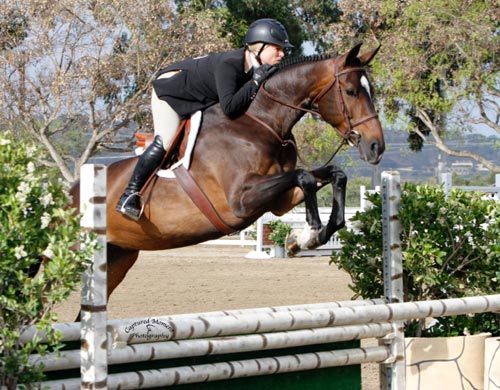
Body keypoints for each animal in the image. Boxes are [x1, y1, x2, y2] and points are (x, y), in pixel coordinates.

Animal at [70, 42, 384, 300]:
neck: (262, 120)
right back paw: (130, 202)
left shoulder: (279, 201)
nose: (376, 147)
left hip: (117, 256)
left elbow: (334, 174)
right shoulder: (239, 202)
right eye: (351, 91)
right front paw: (312, 232)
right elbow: (304, 176)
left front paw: (302, 239)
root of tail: (69, 192)